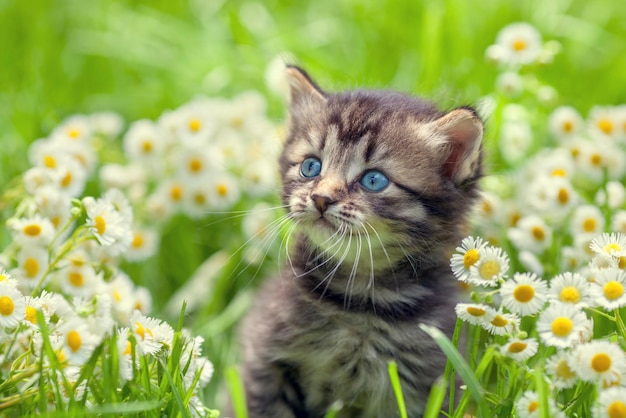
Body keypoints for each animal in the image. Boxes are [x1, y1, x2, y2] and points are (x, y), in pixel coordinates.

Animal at [239, 67, 482, 416]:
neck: (359, 299)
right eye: (311, 166)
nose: (320, 198)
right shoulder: (264, 356)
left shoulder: (428, 380)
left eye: (374, 180)